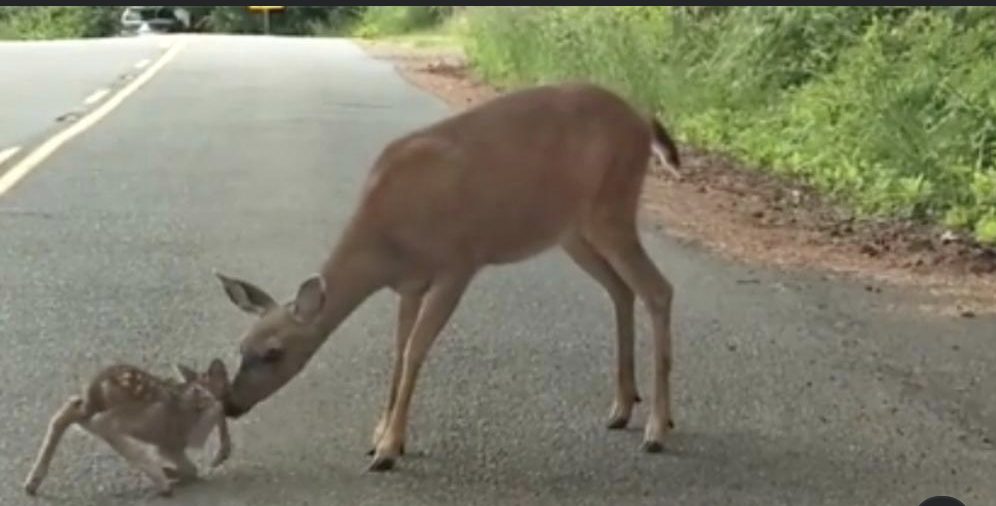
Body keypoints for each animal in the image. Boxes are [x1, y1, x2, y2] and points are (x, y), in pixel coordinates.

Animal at [25, 358, 233, 496]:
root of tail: (96, 389)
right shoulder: (173, 440)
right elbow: (192, 468)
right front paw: (171, 471)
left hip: (91, 406)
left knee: (67, 411)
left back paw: (32, 481)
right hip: (134, 415)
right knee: (97, 423)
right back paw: (161, 480)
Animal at [216, 81, 684, 472]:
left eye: (274, 352)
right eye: (241, 347)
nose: (231, 405)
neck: (386, 240)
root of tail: (641, 119)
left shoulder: (458, 263)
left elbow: (415, 351)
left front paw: (389, 449)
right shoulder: (409, 284)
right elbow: (398, 349)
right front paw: (380, 435)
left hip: (611, 207)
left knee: (658, 290)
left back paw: (657, 429)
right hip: (572, 231)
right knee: (622, 290)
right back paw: (622, 407)